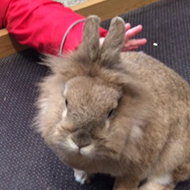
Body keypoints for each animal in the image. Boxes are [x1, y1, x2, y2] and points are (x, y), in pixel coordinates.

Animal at [33, 15, 190, 190]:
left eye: (111, 112)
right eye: (66, 102)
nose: (80, 141)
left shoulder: (133, 171)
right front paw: (82, 176)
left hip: (173, 157)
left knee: (166, 180)